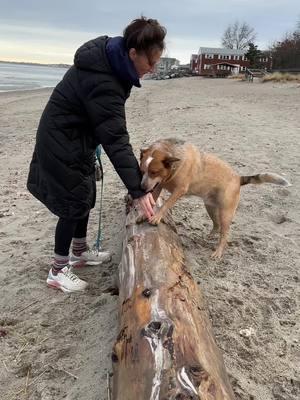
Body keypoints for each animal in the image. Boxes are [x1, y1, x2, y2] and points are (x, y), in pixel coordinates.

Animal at [140, 138, 290, 260]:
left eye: (154, 172)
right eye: (142, 171)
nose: (142, 187)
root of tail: (238, 178)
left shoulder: (179, 190)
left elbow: (165, 204)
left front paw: (156, 217)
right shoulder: (158, 186)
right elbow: (153, 199)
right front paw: (143, 214)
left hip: (226, 214)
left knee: (224, 234)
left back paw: (218, 252)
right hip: (210, 207)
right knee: (216, 225)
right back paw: (209, 236)